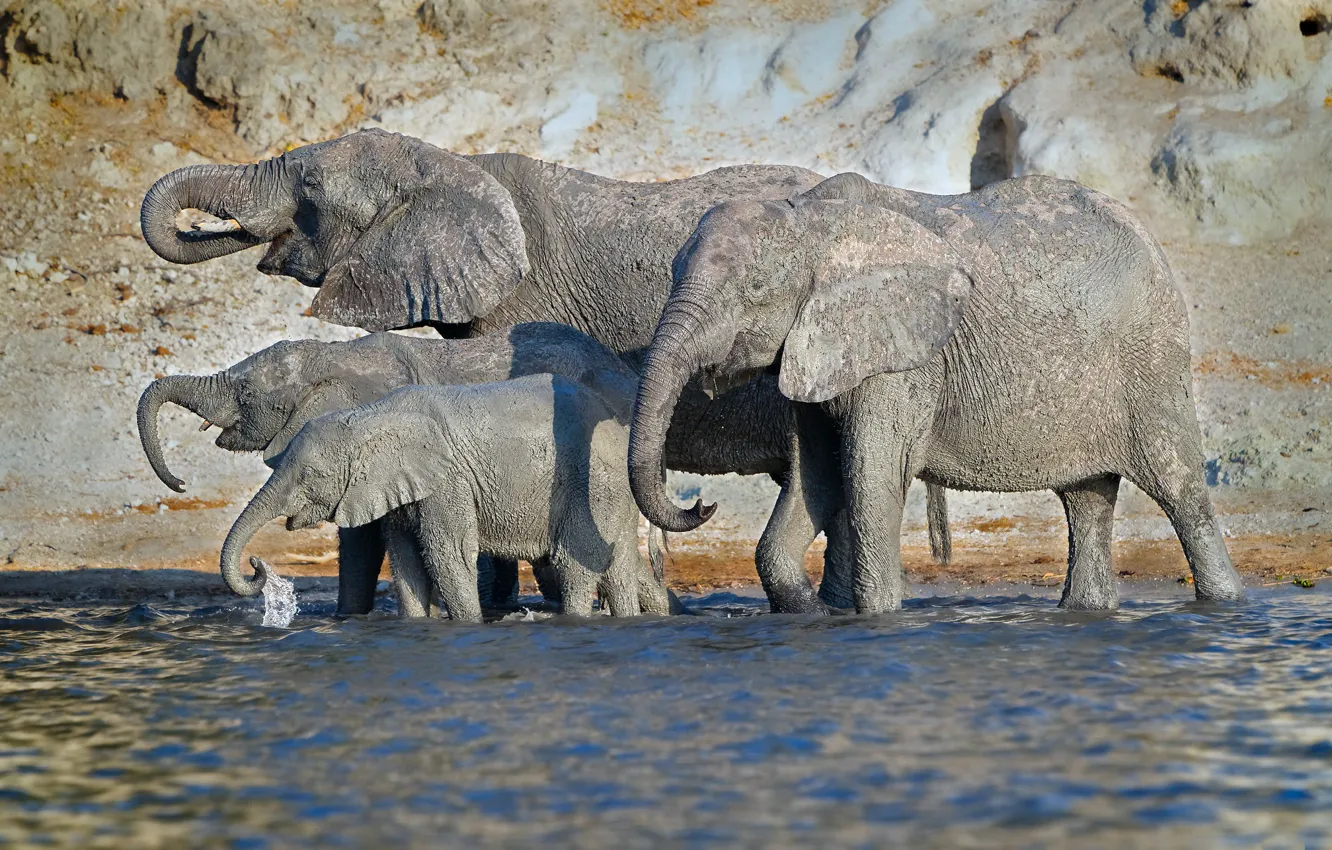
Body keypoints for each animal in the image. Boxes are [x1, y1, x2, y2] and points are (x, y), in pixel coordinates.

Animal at [223, 375, 676, 623]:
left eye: (311, 476)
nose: (257, 564)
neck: (371, 417)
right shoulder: (401, 489)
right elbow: (406, 559)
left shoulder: (448, 483)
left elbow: (448, 554)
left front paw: (469, 625)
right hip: (610, 495)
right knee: (618, 564)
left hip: (591, 484)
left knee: (575, 563)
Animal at [626, 174, 1246, 612]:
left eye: (754, 289)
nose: (701, 503)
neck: (813, 221)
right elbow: (818, 475)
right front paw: (812, 614)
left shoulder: (904, 358)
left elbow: (870, 476)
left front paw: (877, 616)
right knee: (1086, 498)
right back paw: (1085, 610)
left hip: (1153, 357)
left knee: (1179, 489)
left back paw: (1225, 603)